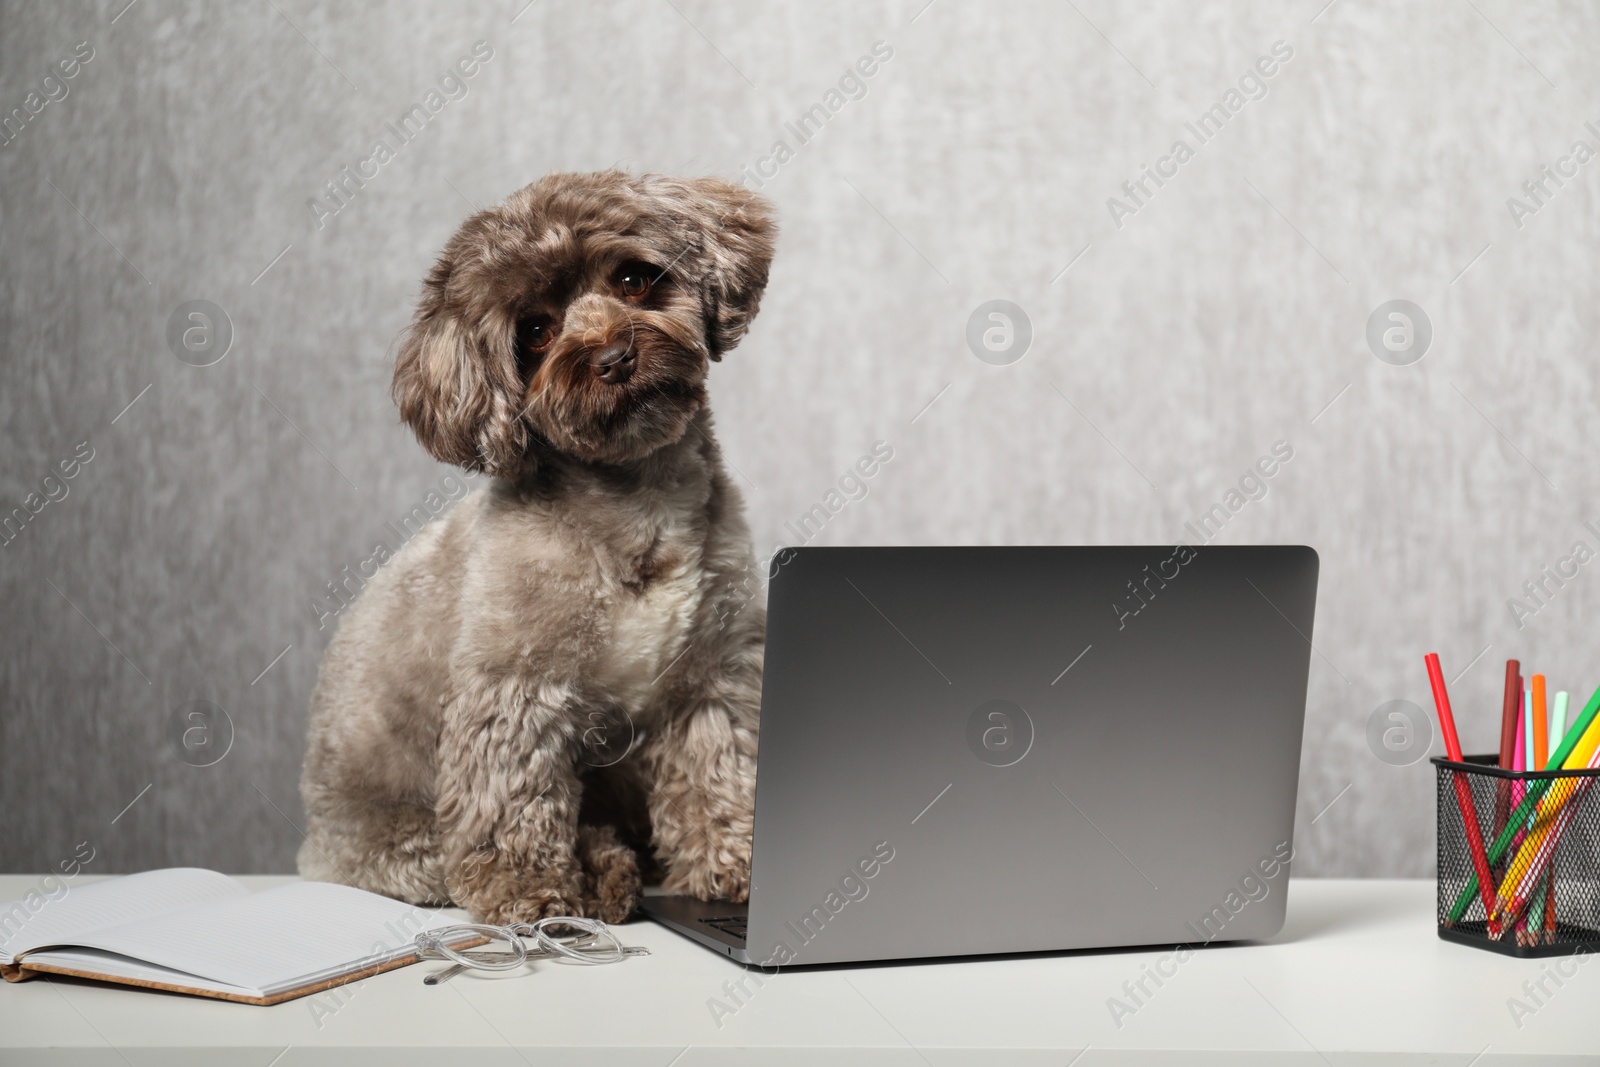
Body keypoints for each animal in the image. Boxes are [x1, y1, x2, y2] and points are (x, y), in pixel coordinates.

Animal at [302, 168, 777, 927]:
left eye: (635, 279)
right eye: (533, 330)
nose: (614, 356)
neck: (636, 501)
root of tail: (313, 846)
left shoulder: (709, 678)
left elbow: (716, 775)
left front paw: (730, 865)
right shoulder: (516, 690)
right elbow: (513, 800)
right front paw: (530, 889)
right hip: (400, 842)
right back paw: (599, 870)